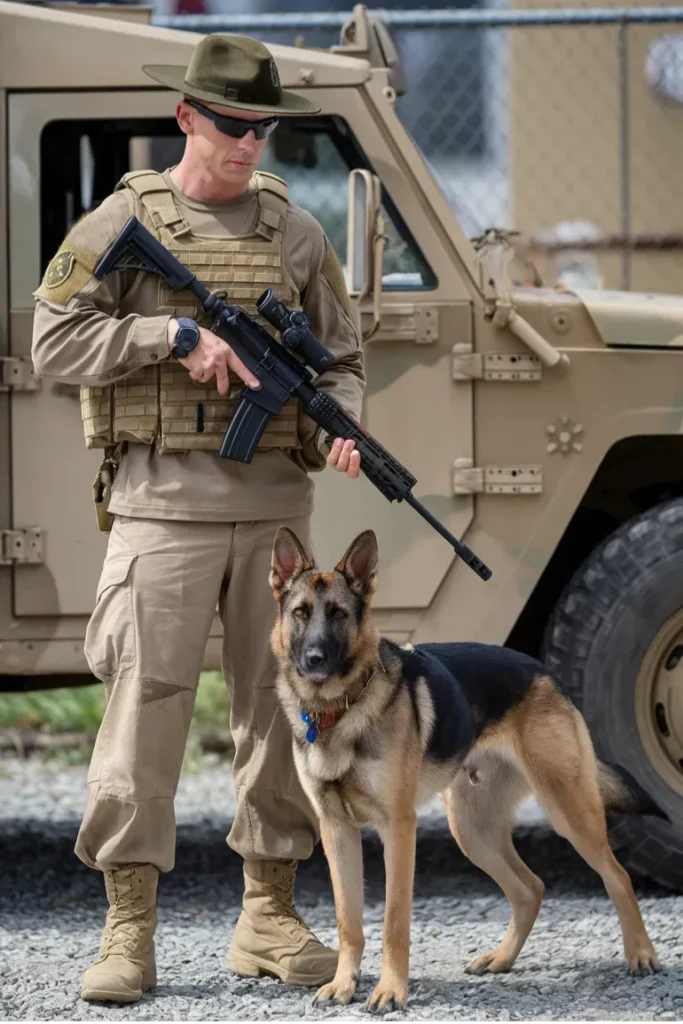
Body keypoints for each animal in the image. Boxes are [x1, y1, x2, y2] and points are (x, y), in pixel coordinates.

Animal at [268, 528, 667, 1015]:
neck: (339, 709)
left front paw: (390, 991)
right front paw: (344, 984)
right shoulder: (336, 831)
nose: (315, 658)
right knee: (531, 888)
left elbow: (394, 921)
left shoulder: (398, 829)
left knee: (618, 876)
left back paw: (641, 953)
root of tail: (545, 672)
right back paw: (501, 958)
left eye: (339, 614)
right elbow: (349, 921)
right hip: (472, 829)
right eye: (301, 613)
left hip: (569, 811)